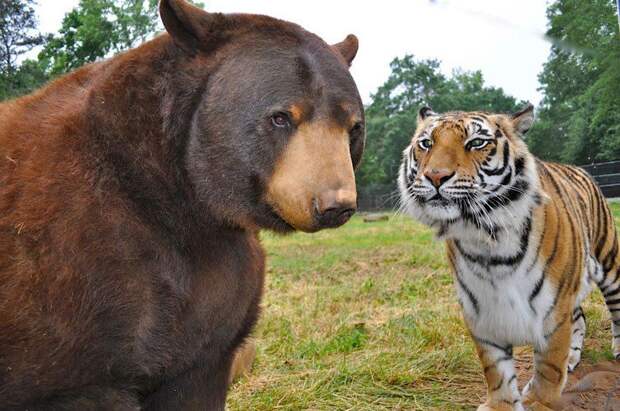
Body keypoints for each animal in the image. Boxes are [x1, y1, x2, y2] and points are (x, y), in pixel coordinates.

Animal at [398, 104, 620, 410]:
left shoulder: (554, 309)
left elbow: (549, 367)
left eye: (476, 143)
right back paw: (573, 357)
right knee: (580, 318)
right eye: (426, 143)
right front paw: (501, 404)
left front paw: (540, 402)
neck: (487, 241)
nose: (435, 176)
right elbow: (496, 369)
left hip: (608, 260)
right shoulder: (481, 310)